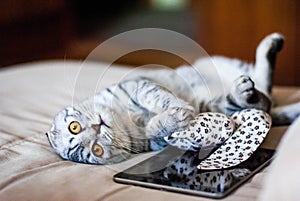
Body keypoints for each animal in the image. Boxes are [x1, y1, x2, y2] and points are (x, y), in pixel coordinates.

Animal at [45, 33, 298, 164]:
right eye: (96, 150)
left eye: (74, 127)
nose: (98, 127)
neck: (123, 119)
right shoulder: (155, 142)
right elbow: (156, 129)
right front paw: (167, 120)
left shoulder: (138, 86)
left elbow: (158, 98)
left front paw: (175, 110)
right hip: (227, 103)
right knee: (261, 96)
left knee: (264, 84)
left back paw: (270, 44)